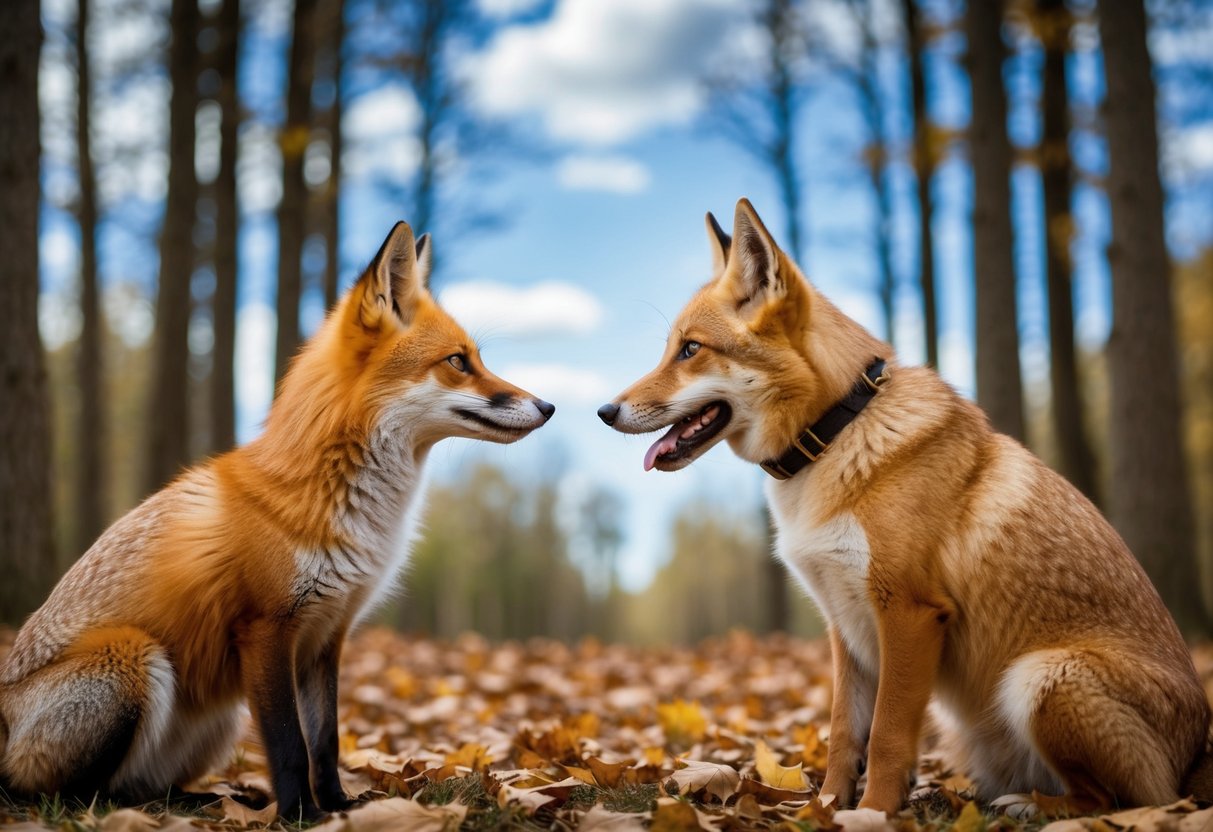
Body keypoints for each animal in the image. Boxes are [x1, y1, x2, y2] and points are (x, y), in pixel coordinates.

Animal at [0, 221, 554, 819]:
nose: (547, 406)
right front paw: (301, 816)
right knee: (56, 792)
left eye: (475, 358)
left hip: (218, 716)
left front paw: (337, 806)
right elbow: (289, 743)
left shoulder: (327, 633)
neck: (343, 502)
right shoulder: (266, 629)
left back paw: (195, 799)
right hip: (130, 656)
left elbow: (325, 739)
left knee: (138, 785)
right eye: (458, 362)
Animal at [597, 198, 1212, 814]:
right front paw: (826, 809)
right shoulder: (846, 625)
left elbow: (889, 736)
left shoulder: (909, 613)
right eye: (671, 348)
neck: (837, 433)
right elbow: (844, 735)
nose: (604, 411)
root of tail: (1194, 763)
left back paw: (1032, 805)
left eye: (691, 349)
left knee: (1113, 801)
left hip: (1041, 678)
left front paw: (871, 813)